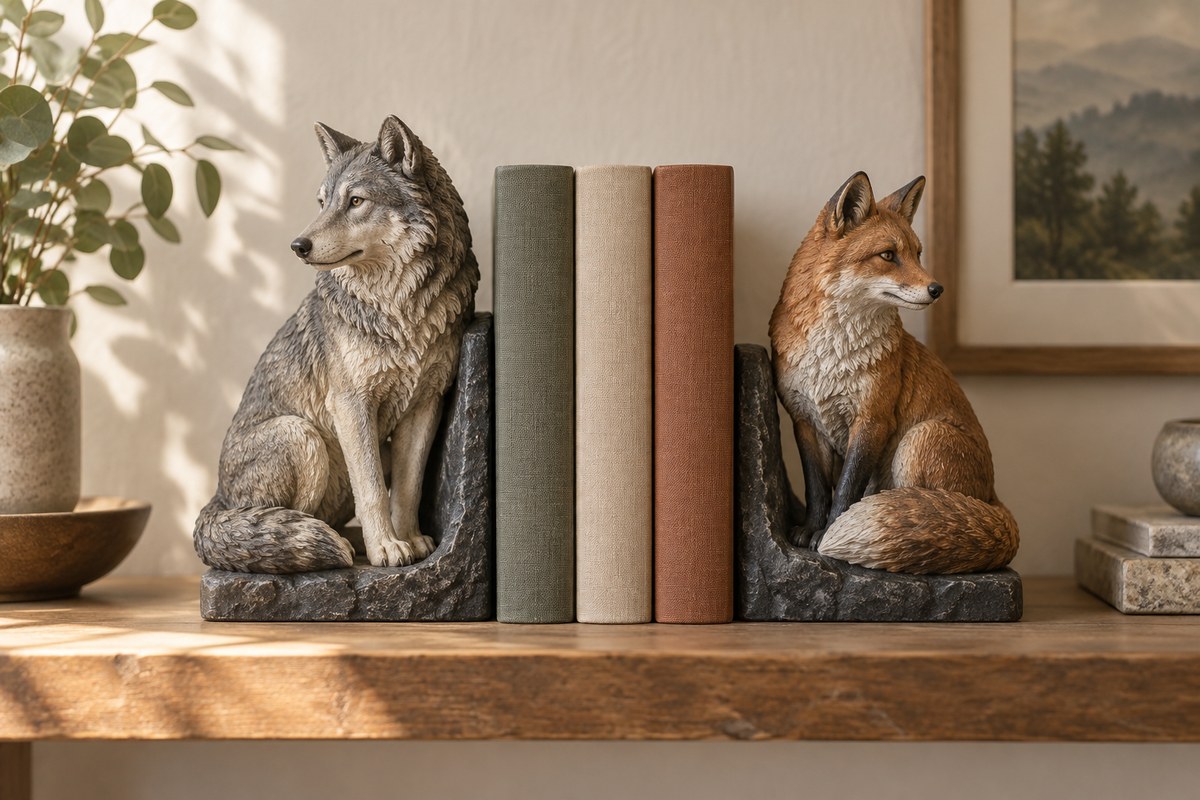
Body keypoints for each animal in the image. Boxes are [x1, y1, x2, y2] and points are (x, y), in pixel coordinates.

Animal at [193, 115, 479, 573]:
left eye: (356, 201)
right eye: (322, 202)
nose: (298, 246)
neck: (399, 308)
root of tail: (216, 499)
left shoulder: (425, 405)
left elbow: (407, 490)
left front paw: (409, 541)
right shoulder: (350, 404)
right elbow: (373, 492)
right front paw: (386, 548)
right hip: (301, 434)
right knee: (287, 524)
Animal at [768, 171, 1018, 574]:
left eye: (918, 253)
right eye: (888, 255)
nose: (937, 288)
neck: (832, 354)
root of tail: (993, 497)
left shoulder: (873, 418)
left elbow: (846, 489)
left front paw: (830, 533)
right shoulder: (803, 418)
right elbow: (817, 487)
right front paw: (811, 528)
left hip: (919, 439)